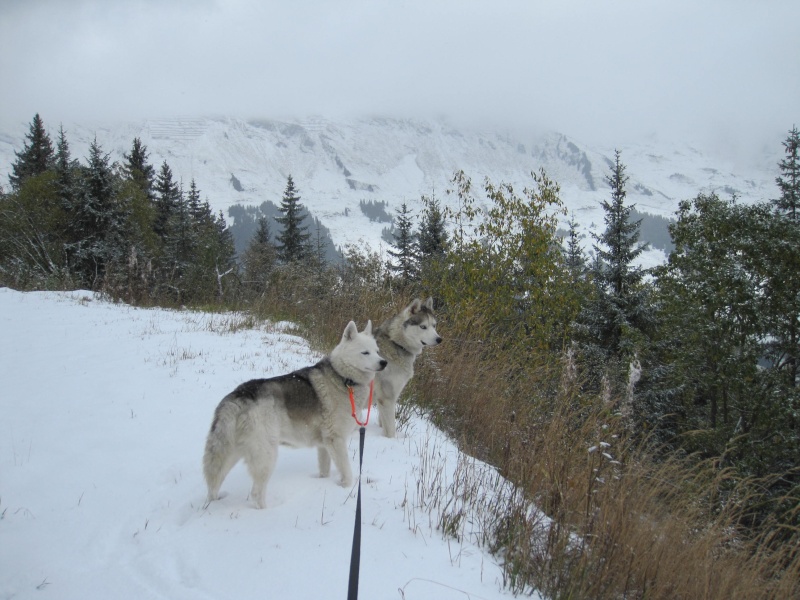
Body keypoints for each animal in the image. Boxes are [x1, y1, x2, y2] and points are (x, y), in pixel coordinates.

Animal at [202, 322, 386, 508]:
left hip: (229, 454)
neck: (344, 378)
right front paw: (347, 489)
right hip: (266, 456)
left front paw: (323, 482)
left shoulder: (325, 443)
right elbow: (347, 472)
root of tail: (239, 395)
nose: (384, 362)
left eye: (377, 351)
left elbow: (324, 469)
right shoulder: (336, 440)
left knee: (213, 484)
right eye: (365, 352)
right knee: (256, 493)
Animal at [372, 298, 440, 438]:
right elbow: (391, 431)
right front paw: (391, 441)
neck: (397, 343)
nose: (439, 339)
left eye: (434, 325)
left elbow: (383, 424)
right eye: (423, 326)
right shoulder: (387, 399)